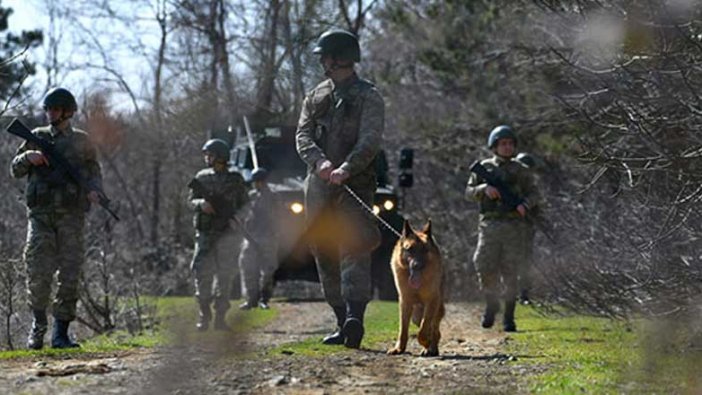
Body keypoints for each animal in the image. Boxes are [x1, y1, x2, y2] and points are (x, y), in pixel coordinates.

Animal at [384, 221, 446, 358]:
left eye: (424, 250)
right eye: (409, 249)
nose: (416, 265)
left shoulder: (431, 301)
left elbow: (424, 329)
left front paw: (426, 342)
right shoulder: (405, 302)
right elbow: (403, 329)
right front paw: (399, 349)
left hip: (435, 309)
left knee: (435, 330)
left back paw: (431, 348)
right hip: (416, 316)